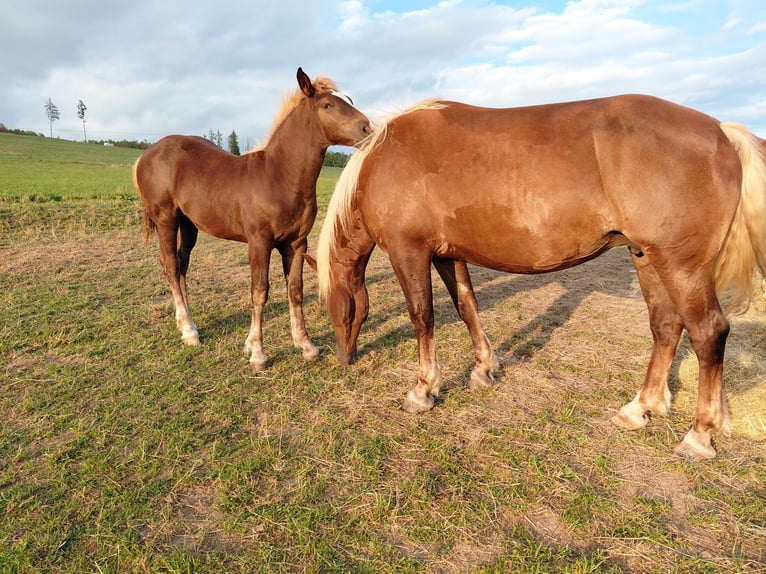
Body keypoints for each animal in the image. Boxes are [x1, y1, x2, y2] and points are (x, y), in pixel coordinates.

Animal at [134, 68, 372, 369]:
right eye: (327, 105)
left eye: (349, 99)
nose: (367, 129)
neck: (278, 176)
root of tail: (146, 155)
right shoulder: (259, 242)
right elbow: (260, 291)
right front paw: (257, 352)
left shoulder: (296, 244)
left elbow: (295, 290)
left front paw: (306, 345)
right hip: (166, 218)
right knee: (170, 265)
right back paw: (188, 331)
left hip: (189, 225)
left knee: (181, 264)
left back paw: (188, 324)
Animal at [316, 95, 766, 460]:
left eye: (340, 311)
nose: (343, 359)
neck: (384, 160)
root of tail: (721, 131)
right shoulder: (447, 254)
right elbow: (467, 306)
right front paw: (484, 369)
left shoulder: (409, 252)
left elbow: (422, 317)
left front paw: (423, 389)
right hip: (648, 259)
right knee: (666, 327)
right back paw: (640, 408)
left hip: (681, 266)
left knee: (708, 332)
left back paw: (699, 435)